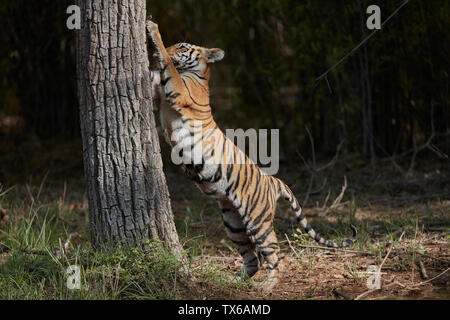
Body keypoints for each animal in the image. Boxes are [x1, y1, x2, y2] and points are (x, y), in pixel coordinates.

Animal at [146, 18, 356, 292]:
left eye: (181, 46)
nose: (170, 48)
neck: (199, 74)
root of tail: (273, 180)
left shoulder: (178, 91)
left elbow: (168, 66)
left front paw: (152, 30)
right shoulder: (159, 98)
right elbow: (154, 79)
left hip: (257, 221)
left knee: (275, 255)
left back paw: (266, 286)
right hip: (233, 223)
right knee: (253, 259)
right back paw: (230, 281)